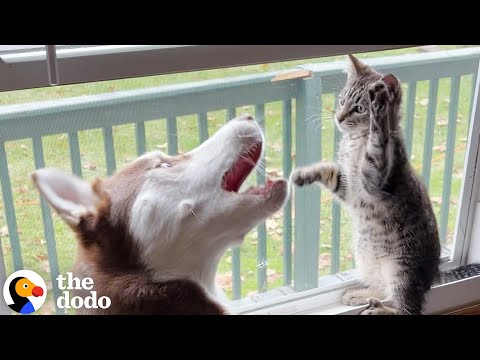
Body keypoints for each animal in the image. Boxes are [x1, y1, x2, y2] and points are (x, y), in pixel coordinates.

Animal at [290, 54, 440, 316]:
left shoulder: (376, 177)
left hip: (402, 271)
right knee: (383, 289)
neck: (354, 142)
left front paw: (379, 110)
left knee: (406, 308)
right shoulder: (348, 187)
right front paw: (304, 175)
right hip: (367, 258)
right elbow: (329, 170)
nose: (338, 117)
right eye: (341, 101)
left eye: (359, 108)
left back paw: (379, 309)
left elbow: (378, 139)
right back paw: (361, 294)